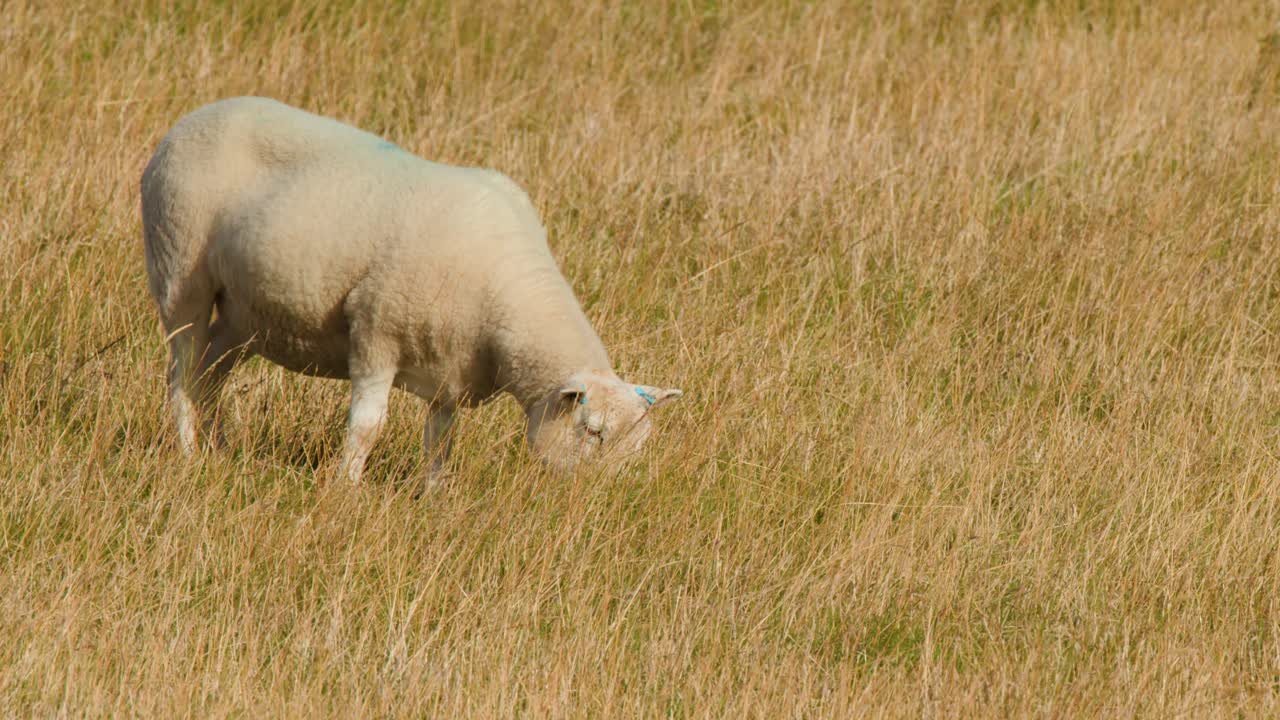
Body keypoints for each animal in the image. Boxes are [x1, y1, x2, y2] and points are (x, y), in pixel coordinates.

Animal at [140, 96, 681, 486]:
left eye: (638, 446)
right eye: (593, 432)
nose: (599, 501)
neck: (507, 305)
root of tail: (188, 120)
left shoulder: (450, 368)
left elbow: (440, 440)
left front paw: (435, 496)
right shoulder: (375, 331)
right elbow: (367, 427)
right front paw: (345, 488)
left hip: (243, 313)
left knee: (210, 370)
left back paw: (217, 448)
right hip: (179, 267)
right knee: (182, 368)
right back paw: (188, 451)